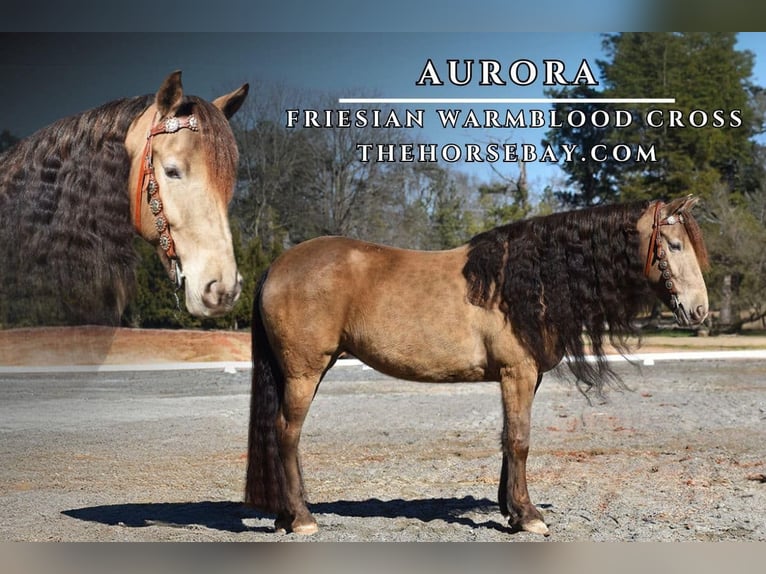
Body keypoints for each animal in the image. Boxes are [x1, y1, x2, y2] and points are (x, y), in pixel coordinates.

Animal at [249, 196, 712, 536]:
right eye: (674, 246)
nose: (699, 311)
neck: (527, 281)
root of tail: (276, 266)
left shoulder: (526, 377)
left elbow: (508, 440)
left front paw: (511, 509)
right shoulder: (517, 373)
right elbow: (520, 441)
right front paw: (529, 517)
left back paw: (285, 515)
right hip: (304, 373)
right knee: (287, 434)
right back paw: (302, 519)